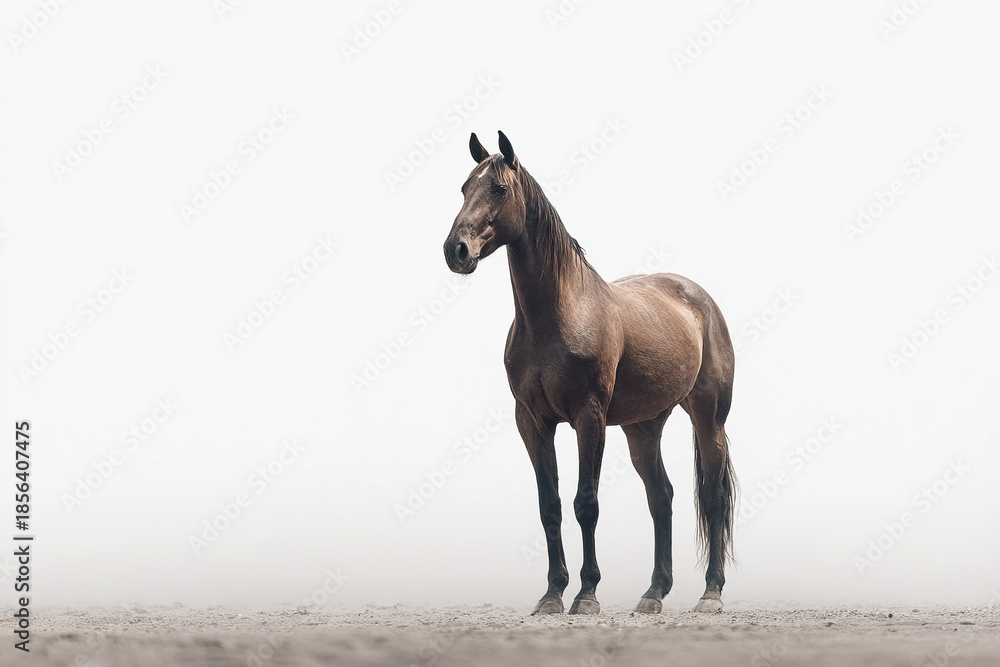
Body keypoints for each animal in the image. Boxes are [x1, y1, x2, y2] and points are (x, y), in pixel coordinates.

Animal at [442, 131, 737, 615]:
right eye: (465, 187)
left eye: (499, 189)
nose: (456, 250)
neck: (557, 317)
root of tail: (700, 299)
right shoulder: (532, 422)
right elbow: (550, 506)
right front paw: (551, 595)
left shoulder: (589, 417)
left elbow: (586, 503)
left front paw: (586, 595)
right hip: (643, 429)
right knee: (662, 498)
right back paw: (653, 594)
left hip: (709, 419)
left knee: (712, 498)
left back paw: (711, 593)